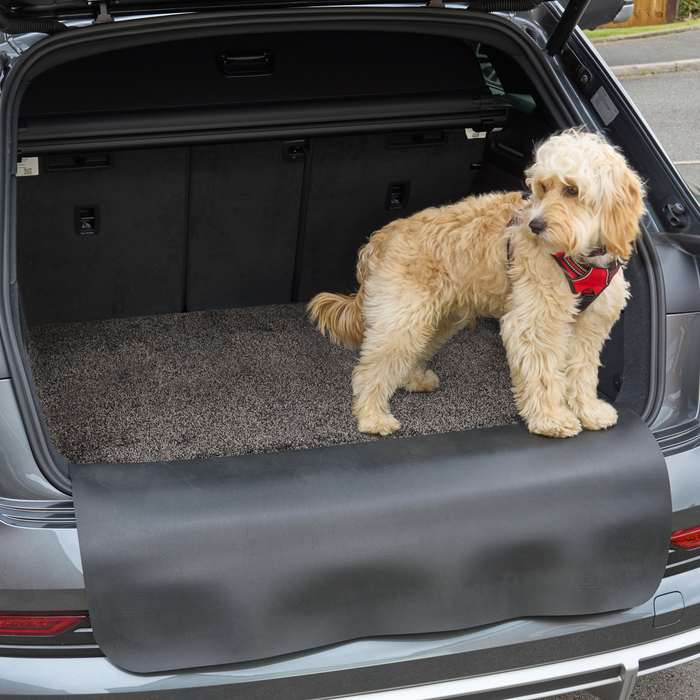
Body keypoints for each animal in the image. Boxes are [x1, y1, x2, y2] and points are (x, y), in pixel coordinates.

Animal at [308, 130, 648, 438]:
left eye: (571, 190)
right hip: (403, 319)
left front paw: (588, 411)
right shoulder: (534, 323)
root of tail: (381, 237)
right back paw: (372, 417)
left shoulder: (590, 325)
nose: (535, 225)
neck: (581, 255)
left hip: (435, 319)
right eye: (542, 187)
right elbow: (542, 373)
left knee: (412, 352)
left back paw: (413, 380)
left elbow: (583, 371)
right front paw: (551, 419)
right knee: (370, 370)